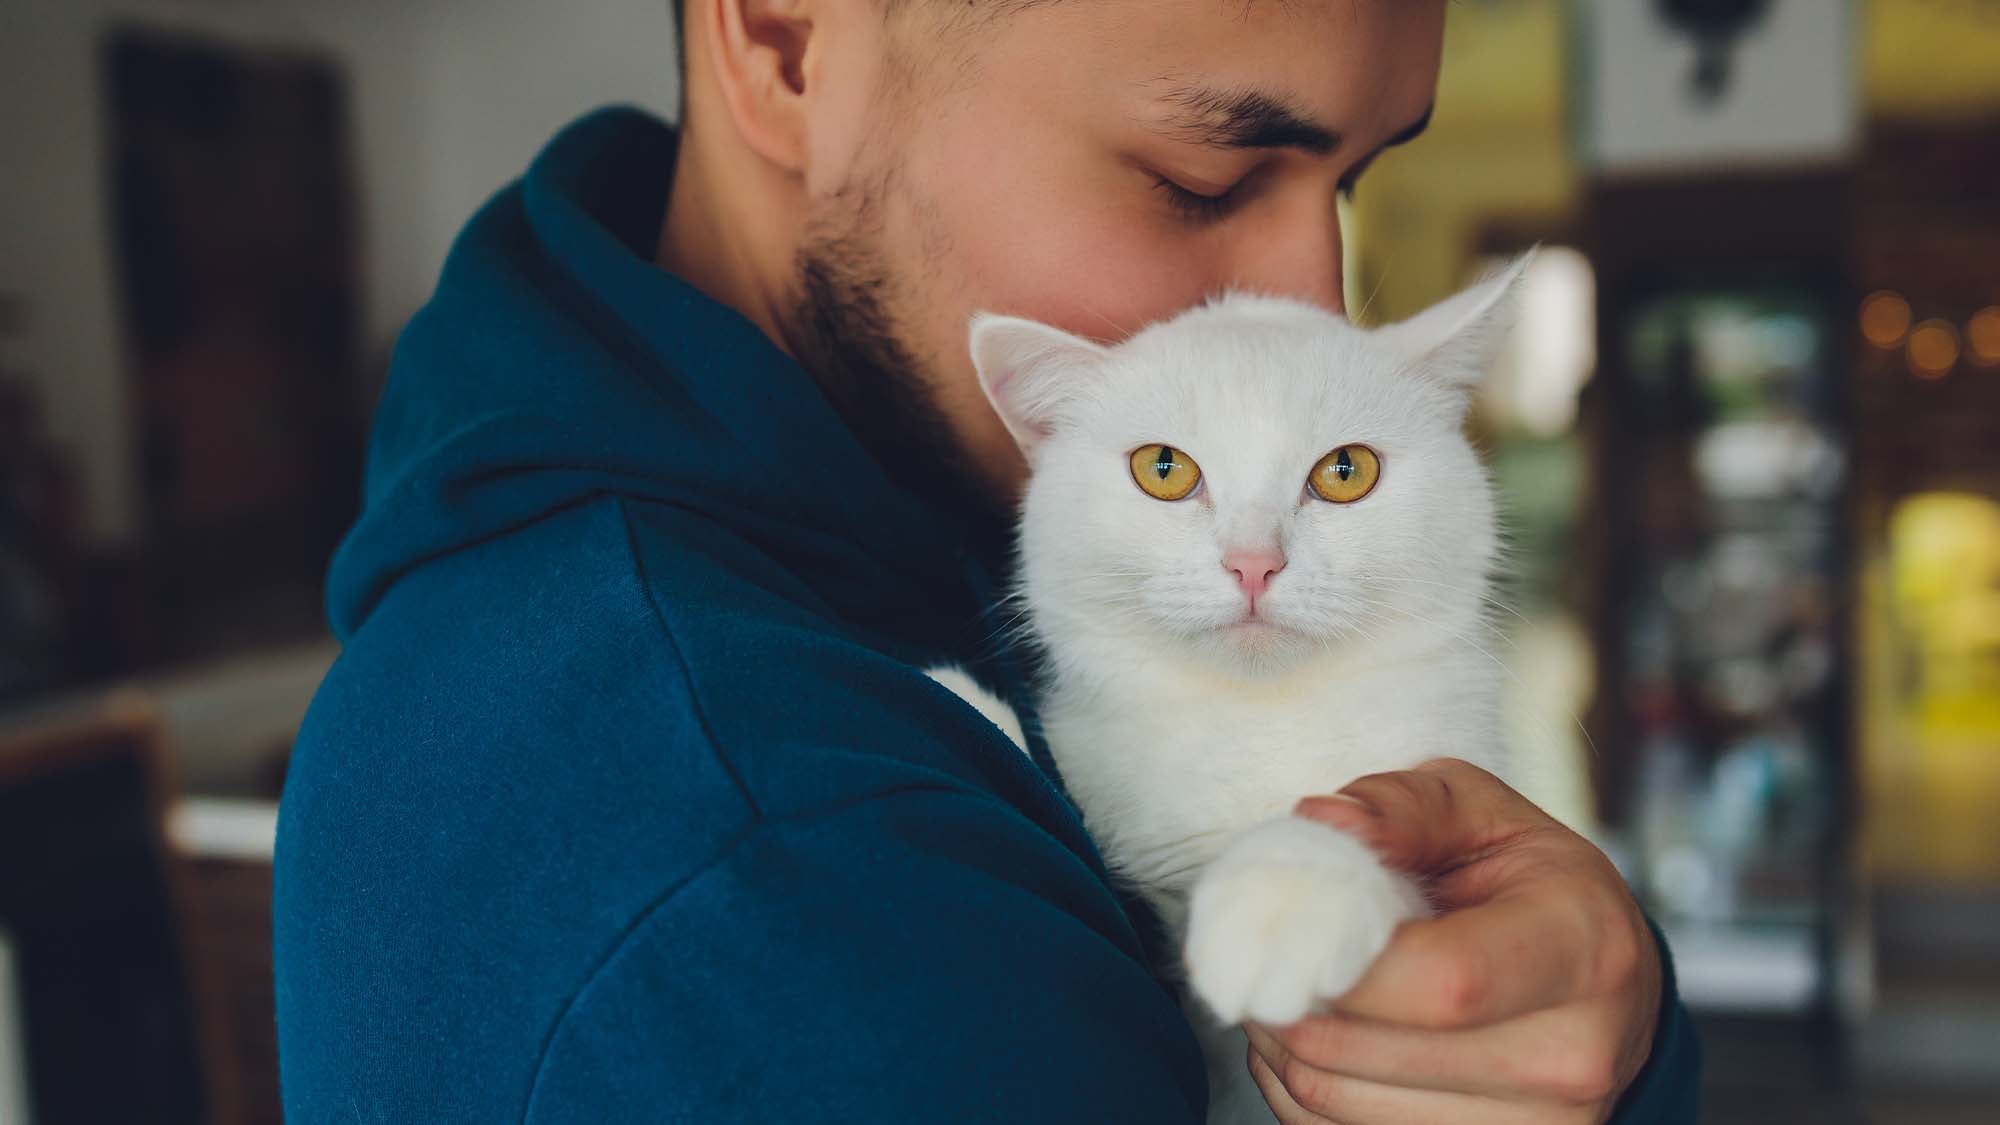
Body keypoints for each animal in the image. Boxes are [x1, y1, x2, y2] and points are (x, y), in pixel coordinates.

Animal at [928, 260, 1520, 1120]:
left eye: (1346, 471)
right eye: (1163, 469)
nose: (1253, 562)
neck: (1252, 719)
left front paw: (1285, 893)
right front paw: (962, 699)